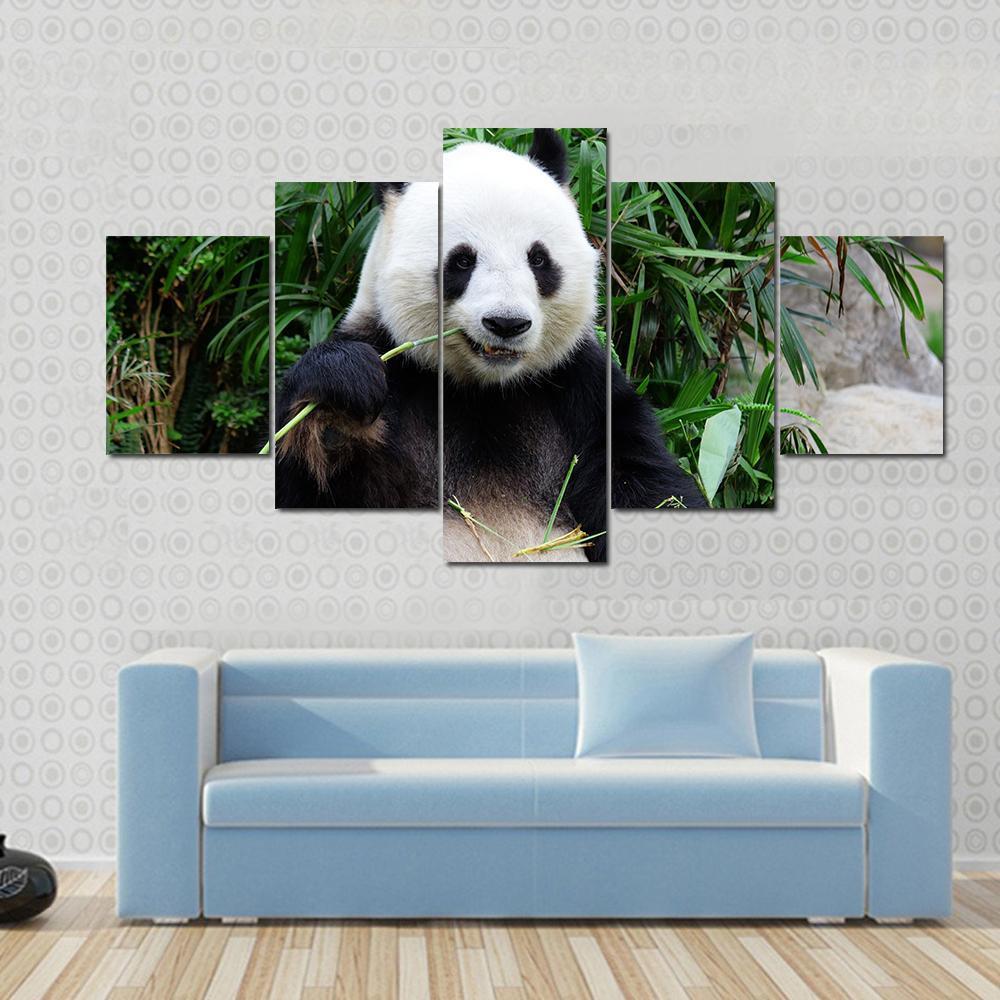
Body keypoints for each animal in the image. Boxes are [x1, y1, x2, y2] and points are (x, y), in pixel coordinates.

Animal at [275, 129, 705, 561]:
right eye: (462, 261)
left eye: (538, 259)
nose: (507, 323)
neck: (484, 391)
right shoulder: (393, 365)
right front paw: (337, 406)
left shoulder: (584, 392)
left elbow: (645, 483)